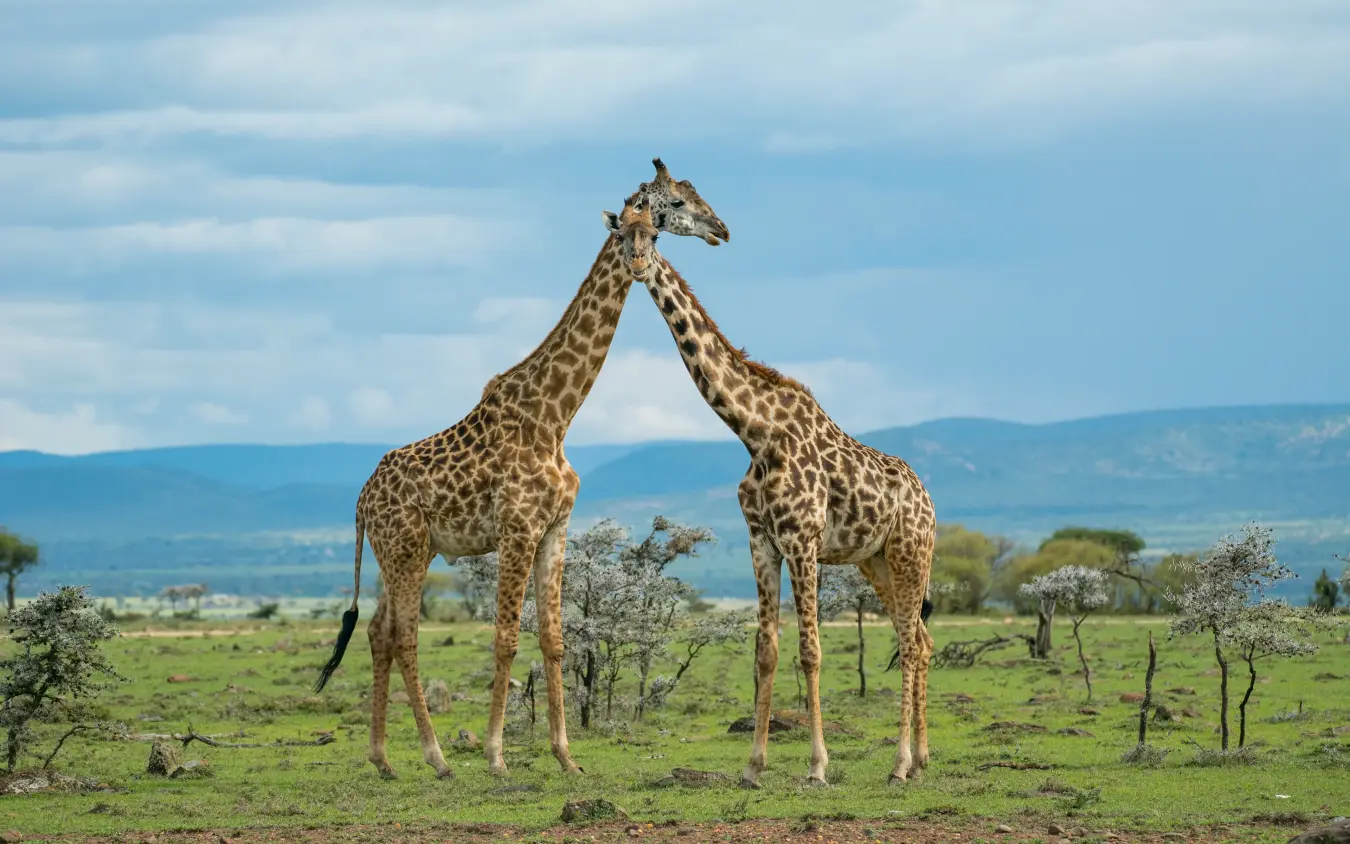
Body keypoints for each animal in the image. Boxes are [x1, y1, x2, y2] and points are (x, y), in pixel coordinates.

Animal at [313, 160, 729, 780]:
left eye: (655, 233)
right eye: (677, 201)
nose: (720, 229)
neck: (555, 415)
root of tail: (362, 501)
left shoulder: (555, 528)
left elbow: (554, 639)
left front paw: (566, 756)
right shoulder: (516, 528)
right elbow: (506, 638)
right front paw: (496, 755)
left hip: (406, 552)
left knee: (378, 631)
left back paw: (384, 759)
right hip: (406, 551)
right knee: (405, 636)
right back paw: (437, 758)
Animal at [603, 199, 936, 786]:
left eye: (657, 232)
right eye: (622, 233)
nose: (639, 265)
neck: (755, 431)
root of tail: (930, 502)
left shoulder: (802, 541)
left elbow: (811, 650)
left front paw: (817, 766)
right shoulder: (762, 541)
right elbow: (766, 651)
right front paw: (753, 765)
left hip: (909, 552)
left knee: (913, 643)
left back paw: (900, 763)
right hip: (875, 561)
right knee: (916, 637)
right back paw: (917, 759)